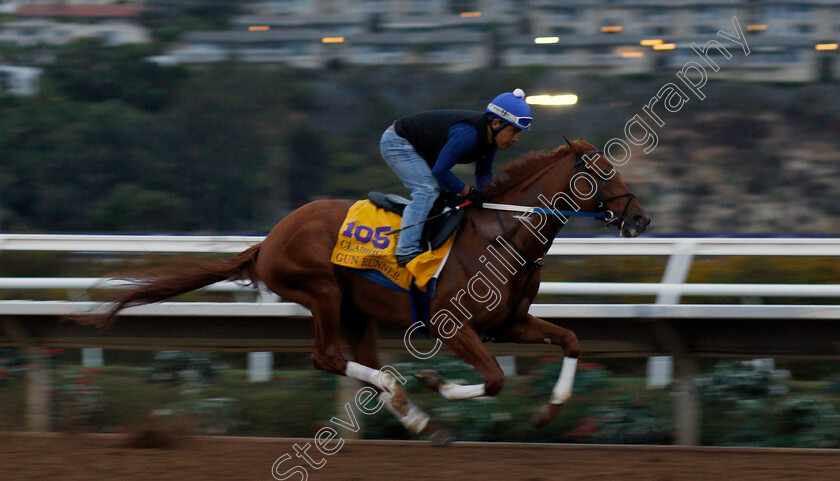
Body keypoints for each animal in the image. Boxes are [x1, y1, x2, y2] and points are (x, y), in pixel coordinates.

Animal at [75, 135, 648, 442]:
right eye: (601, 172)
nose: (640, 219)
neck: (503, 235)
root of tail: (269, 239)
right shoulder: (452, 324)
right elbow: (493, 380)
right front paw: (437, 382)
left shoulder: (509, 322)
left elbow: (570, 340)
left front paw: (550, 408)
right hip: (322, 291)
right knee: (328, 358)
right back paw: (405, 395)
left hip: (357, 310)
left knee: (360, 362)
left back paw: (414, 415)